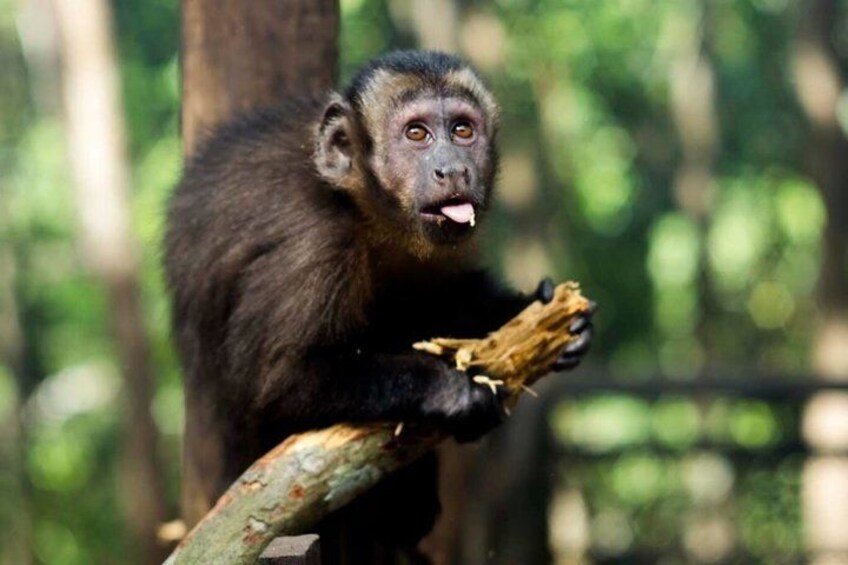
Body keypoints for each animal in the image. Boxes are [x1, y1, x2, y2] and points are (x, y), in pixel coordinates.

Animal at [165, 50, 593, 561]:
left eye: (463, 130)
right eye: (417, 134)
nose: (452, 169)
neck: (361, 203)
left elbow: (445, 299)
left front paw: (533, 310)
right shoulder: (314, 244)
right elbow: (278, 384)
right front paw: (451, 391)